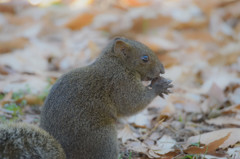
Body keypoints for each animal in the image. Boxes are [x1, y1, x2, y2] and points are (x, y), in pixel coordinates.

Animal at [39, 36, 172, 158]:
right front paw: (159, 87)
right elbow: (132, 103)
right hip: (104, 139)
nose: (163, 70)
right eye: (145, 58)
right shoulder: (121, 83)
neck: (117, 64)